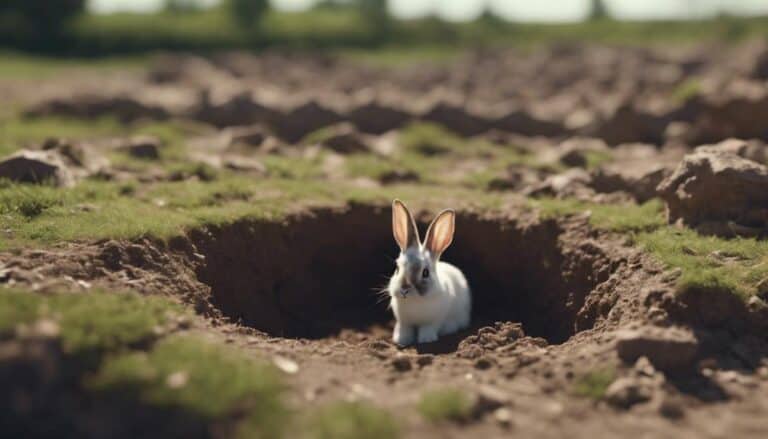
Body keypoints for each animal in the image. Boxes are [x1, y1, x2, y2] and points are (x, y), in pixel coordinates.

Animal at [387, 199, 471, 346]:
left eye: (425, 273)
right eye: (397, 268)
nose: (404, 290)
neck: (415, 301)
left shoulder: (433, 321)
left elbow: (428, 328)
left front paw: (426, 340)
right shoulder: (404, 323)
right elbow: (404, 330)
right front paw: (401, 341)